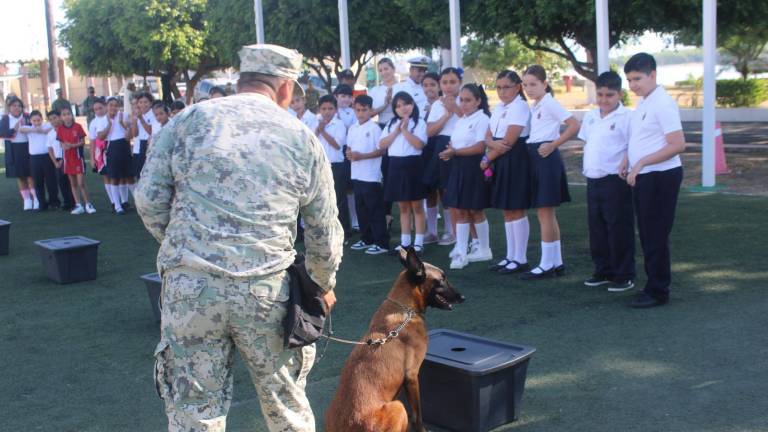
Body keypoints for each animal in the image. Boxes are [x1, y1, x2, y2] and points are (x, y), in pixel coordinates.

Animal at [322, 246, 462, 432]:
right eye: (442, 279)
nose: (462, 297)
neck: (406, 309)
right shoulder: (412, 376)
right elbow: (417, 415)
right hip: (398, 406)